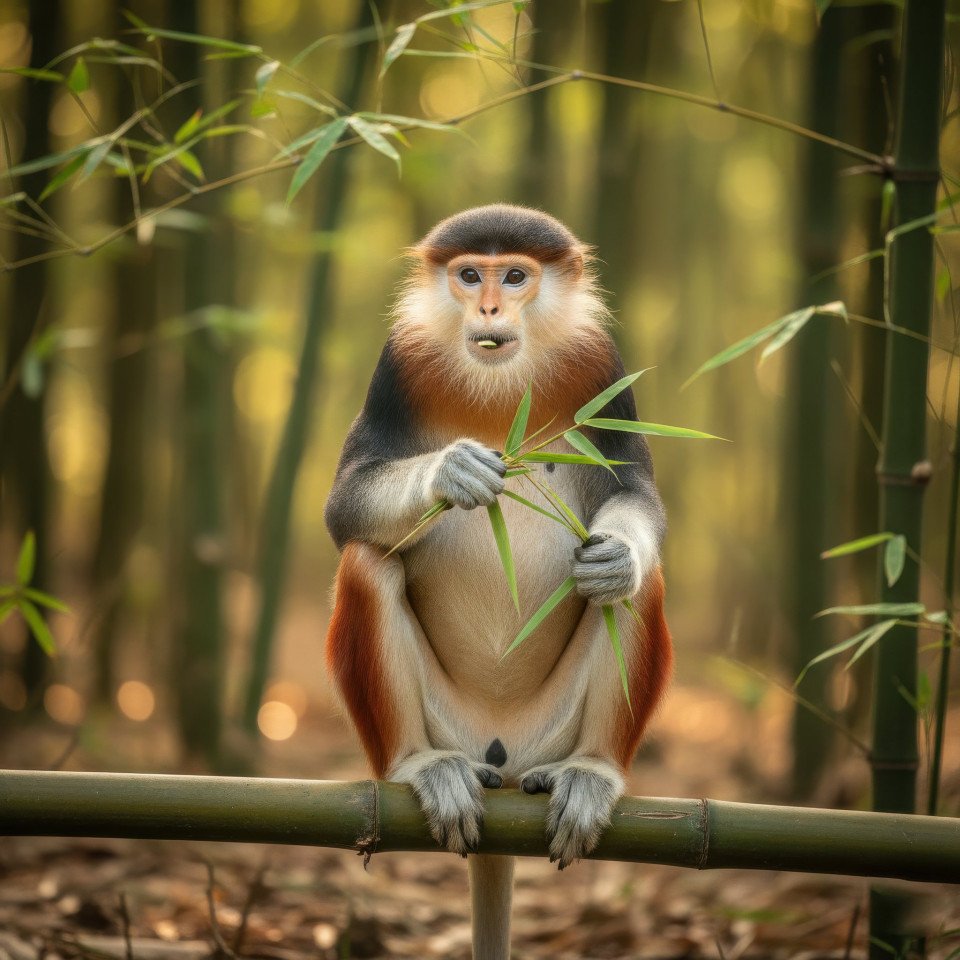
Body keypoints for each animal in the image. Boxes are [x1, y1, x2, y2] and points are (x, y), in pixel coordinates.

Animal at [324, 204, 672, 960]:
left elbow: (636, 493)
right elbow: (346, 507)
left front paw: (618, 556)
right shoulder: (396, 363)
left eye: (515, 276)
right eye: (469, 275)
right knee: (368, 559)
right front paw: (452, 471)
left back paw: (593, 772)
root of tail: (504, 757)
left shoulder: (603, 363)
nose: (487, 307)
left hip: (552, 733)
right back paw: (423, 766)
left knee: (635, 591)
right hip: (444, 723)